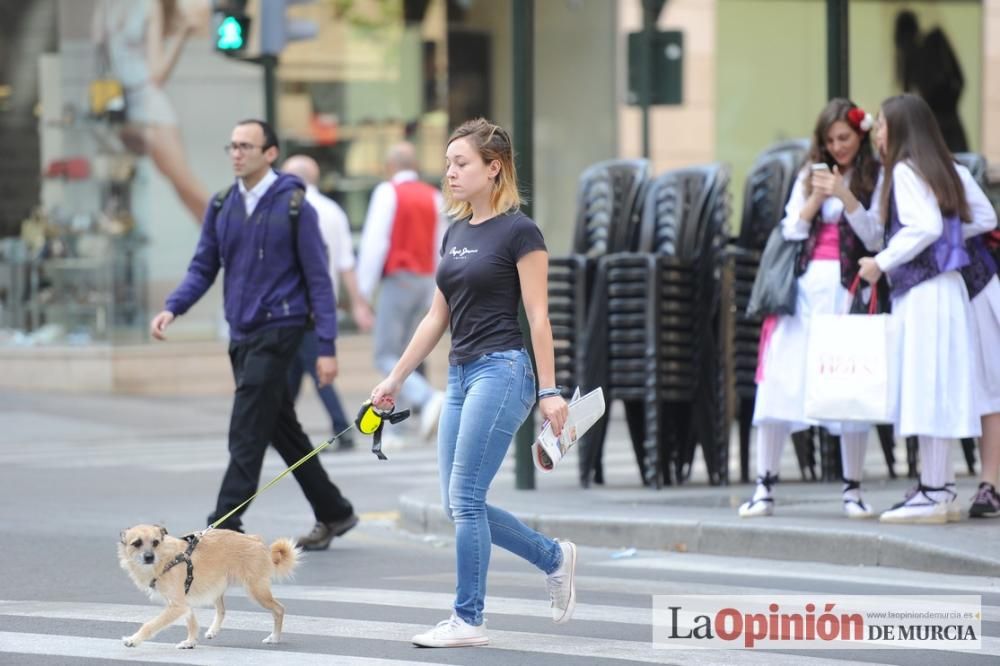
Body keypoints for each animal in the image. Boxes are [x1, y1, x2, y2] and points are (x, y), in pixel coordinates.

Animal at [117, 520, 296, 644]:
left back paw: (275, 637)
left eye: (155, 542)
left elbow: (150, 625)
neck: (166, 559)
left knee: (279, 609)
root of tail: (257, 540)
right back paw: (213, 630)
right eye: (136, 543)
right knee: (222, 610)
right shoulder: (183, 604)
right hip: (217, 588)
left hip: (257, 591)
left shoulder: (177, 605)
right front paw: (190, 642)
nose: (149, 557)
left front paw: (133, 640)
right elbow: (192, 623)